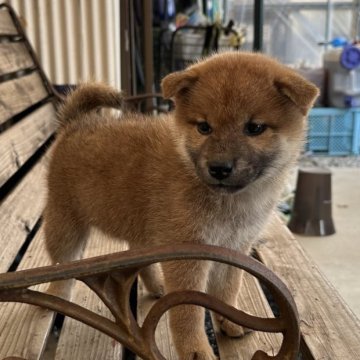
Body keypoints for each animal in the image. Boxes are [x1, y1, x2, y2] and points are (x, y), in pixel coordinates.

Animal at [44, 51, 318, 360]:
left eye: (255, 128)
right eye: (204, 127)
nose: (219, 167)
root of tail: (75, 123)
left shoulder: (234, 247)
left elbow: (227, 290)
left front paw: (230, 321)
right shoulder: (188, 254)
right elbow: (187, 312)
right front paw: (195, 350)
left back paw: (156, 287)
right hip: (65, 223)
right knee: (62, 266)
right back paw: (57, 296)